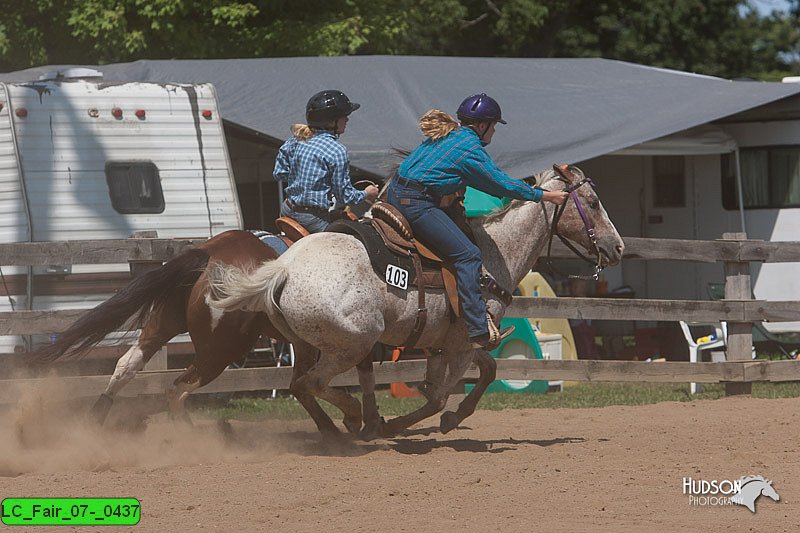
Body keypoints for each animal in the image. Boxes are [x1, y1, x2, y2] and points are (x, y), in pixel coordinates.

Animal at [208, 165, 624, 436]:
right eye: (592, 201)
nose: (618, 246)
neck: (493, 254)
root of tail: (284, 266)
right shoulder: (463, 342)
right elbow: (439, 396)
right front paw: (406, 423)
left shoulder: (449, 341)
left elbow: (487, 370)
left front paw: (453, 416)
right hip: (352, 342)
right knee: (312, 383)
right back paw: (358, 419)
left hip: (307, 343)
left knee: (299, 386)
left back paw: (338, 429)